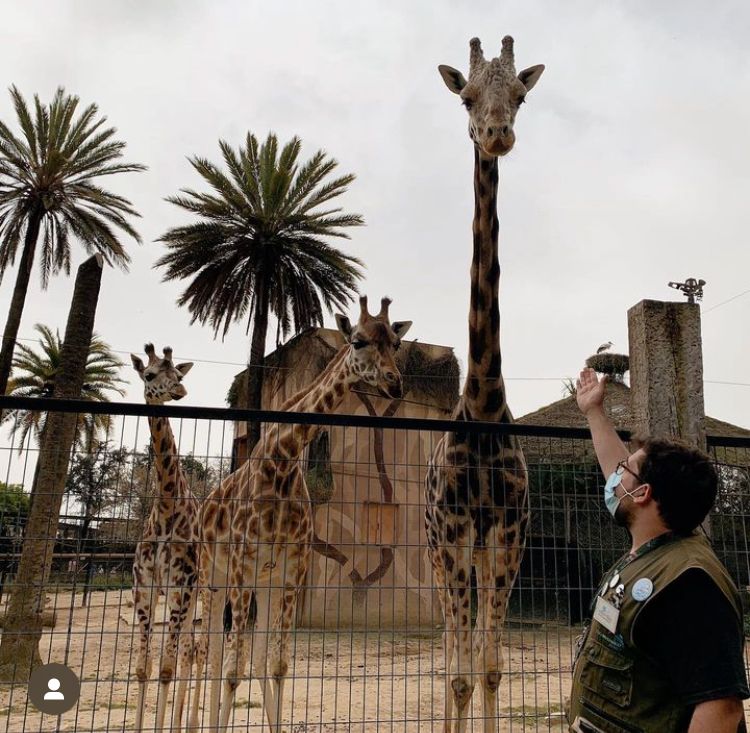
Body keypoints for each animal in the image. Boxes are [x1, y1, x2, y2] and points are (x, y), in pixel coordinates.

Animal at [188, 296, 412, 732]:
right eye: (357, 341)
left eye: (395, 343)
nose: (394, 383)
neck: (284, 461)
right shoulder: (242, 565)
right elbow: (232, 669)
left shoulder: (290, 572)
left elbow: (276, 665)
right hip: (213, 578)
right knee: (208, 654)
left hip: (259, 585)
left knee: (241, 657)